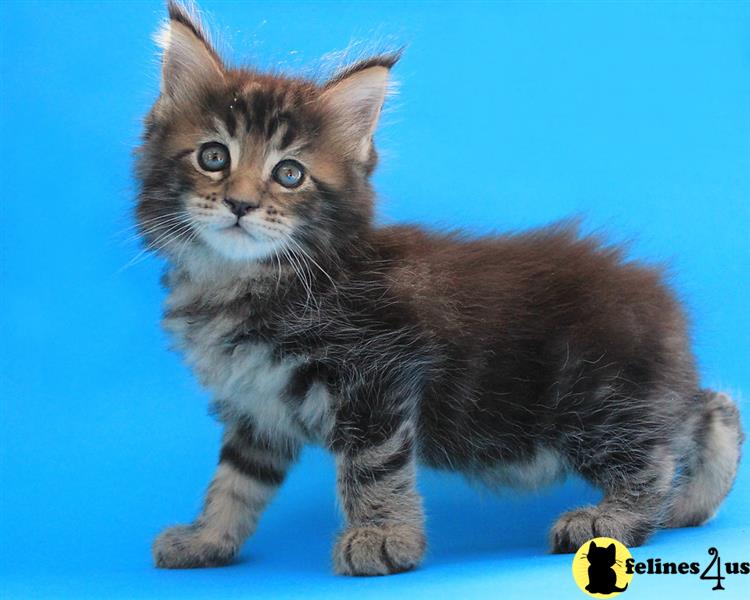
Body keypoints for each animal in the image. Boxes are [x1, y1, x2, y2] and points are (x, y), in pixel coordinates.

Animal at [137, 1, 748, 576]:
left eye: (290, 174)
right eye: (214, 157)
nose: (240, 204)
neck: (245, 281)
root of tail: (663, 307)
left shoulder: (377, 373)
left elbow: (373, 467)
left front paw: (382, 538)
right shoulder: (256, 406)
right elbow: (235, 482)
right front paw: (207, 540)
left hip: (590, 400)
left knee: (656, 454)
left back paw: (613, 518)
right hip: (628, 396)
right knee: (710, 408)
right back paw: (691, 504)